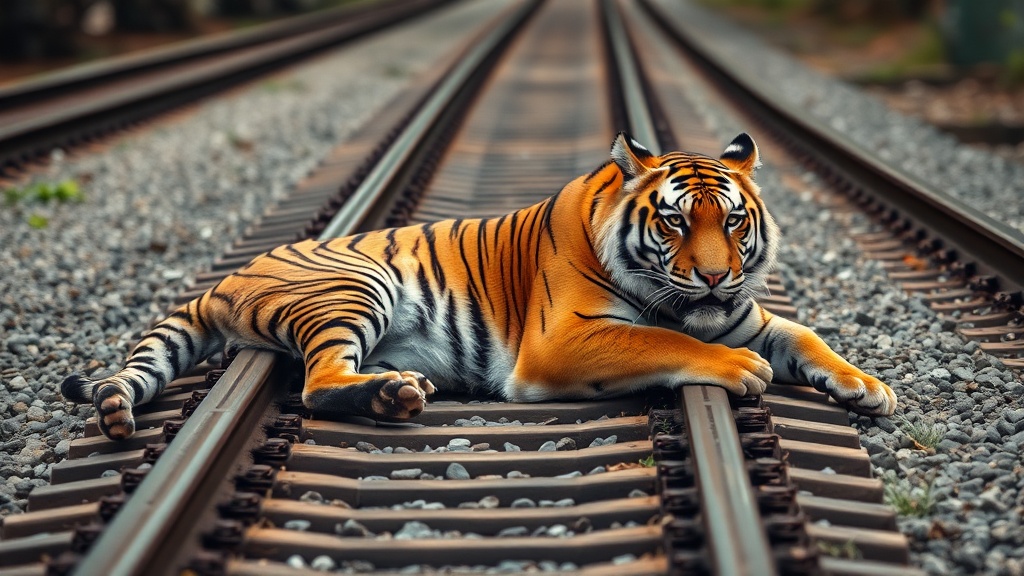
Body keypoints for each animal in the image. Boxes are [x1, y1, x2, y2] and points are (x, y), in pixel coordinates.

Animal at [63, 132, 897, 440]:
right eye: (673, 223)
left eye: (733, 221)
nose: (718, 274)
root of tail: (238, 268)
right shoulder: (562, 342)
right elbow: (658, 339)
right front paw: (740, 371)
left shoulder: (741, 314)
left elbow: (806, 334)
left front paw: (868, 387)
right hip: (357, 286)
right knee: (316, 383)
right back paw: (391, 395)